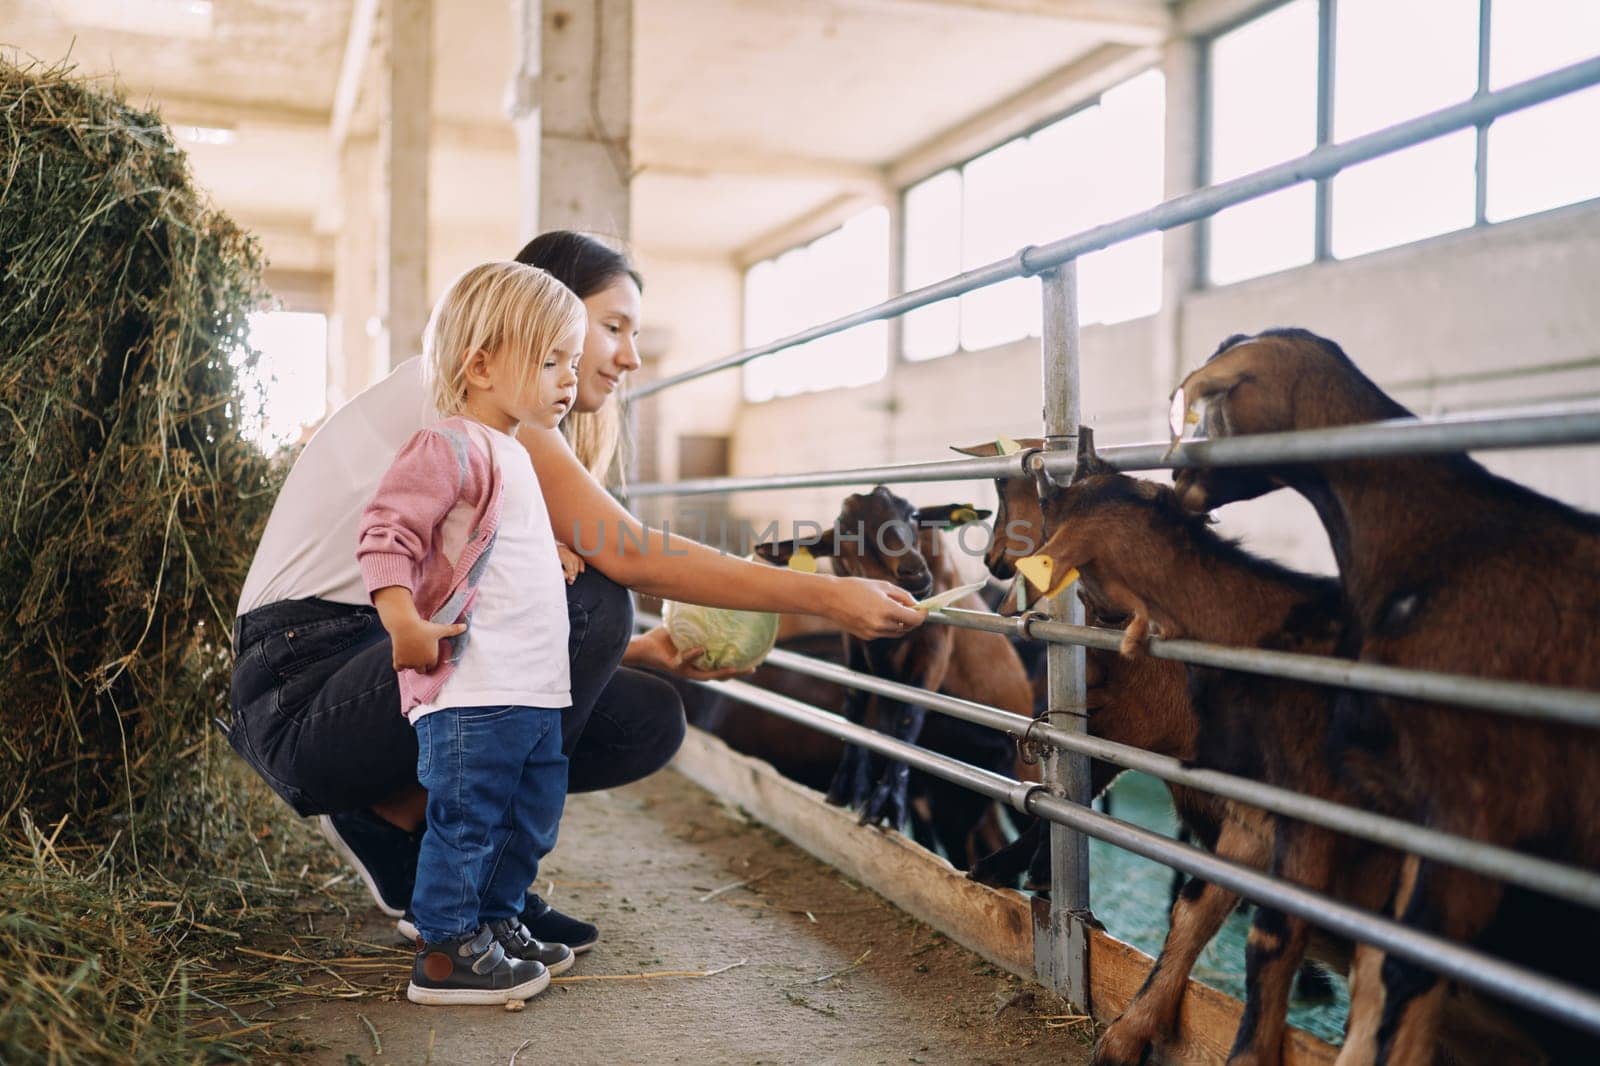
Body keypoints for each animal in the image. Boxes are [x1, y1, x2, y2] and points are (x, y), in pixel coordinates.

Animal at [752, 483, 1036, 832]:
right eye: (848, 530)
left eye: (913, 515)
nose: (914, 573)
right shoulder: (854, 634)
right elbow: (856, 699)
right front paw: (848, 786)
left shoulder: (936, 641)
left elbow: (910, 711)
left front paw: (885, 803)